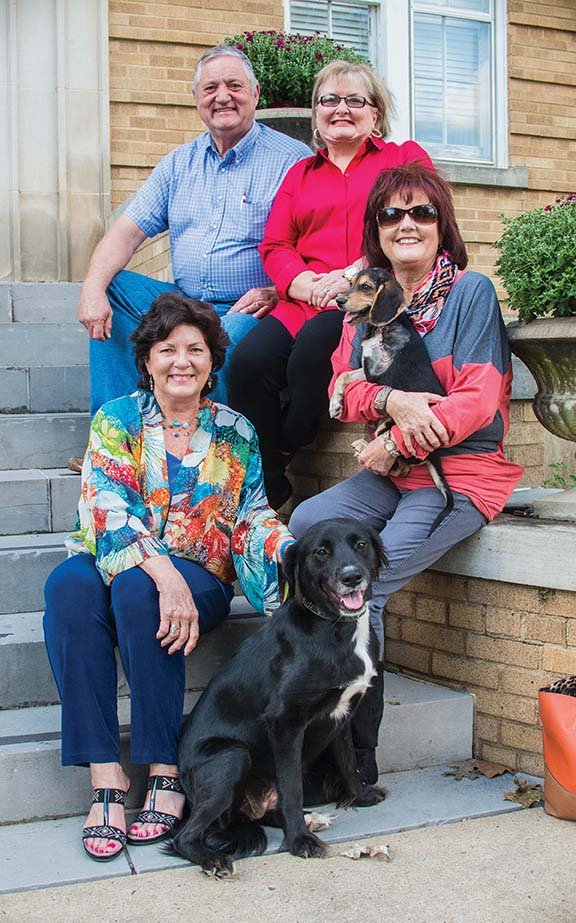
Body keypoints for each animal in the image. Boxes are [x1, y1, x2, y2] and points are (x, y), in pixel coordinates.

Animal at [171, 520, 388, 872]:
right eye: (321, 551)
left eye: (361, 545)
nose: (351, 576)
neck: (334, 629)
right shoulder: (285, 723)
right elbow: (292, 788)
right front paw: (299, 841)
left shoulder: (341, 716)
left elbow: (349, 763)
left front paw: (361, 796)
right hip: (233, 756)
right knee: (185, 836)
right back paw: (213, 859)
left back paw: (311, 819)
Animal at [330, 266, 452, 536]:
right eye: (351, 284)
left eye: (365, 287)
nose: (339, 300)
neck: (383, 327)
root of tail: (436, 454)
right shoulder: (366, 369)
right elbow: (344, 376)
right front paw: (335, 403)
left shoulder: (378, 371)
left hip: (389, 427)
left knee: (400, 465)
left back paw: (363, 447)